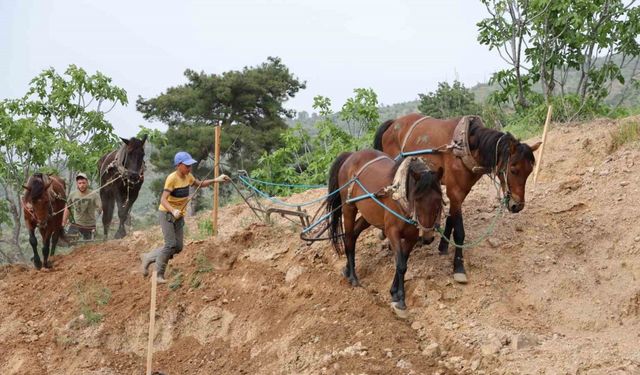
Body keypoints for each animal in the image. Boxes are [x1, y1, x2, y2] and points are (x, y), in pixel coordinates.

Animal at [328, 150, 442, 312]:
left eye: (439, 200)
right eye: (417, 199)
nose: (427, 237)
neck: (400, 197)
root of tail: (351, 155)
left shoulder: (411, 238)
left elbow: (403, 262)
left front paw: (394, 292)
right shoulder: (392, 232)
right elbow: (401, 265)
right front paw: (401, 300)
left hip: (368, 215)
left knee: (353, 235)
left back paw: (347, 269)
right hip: (348, 207)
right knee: (349, 238)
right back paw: (353, 277)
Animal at [376, 113, 540, 284]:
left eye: (529, 171)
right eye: (513, 170)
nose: (517, 205)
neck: (465, 146)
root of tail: (393, 123)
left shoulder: (460, 192)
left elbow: (450, 219)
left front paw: (443, 246)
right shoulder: (455, 191)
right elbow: (460, 232)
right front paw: (459, 267)